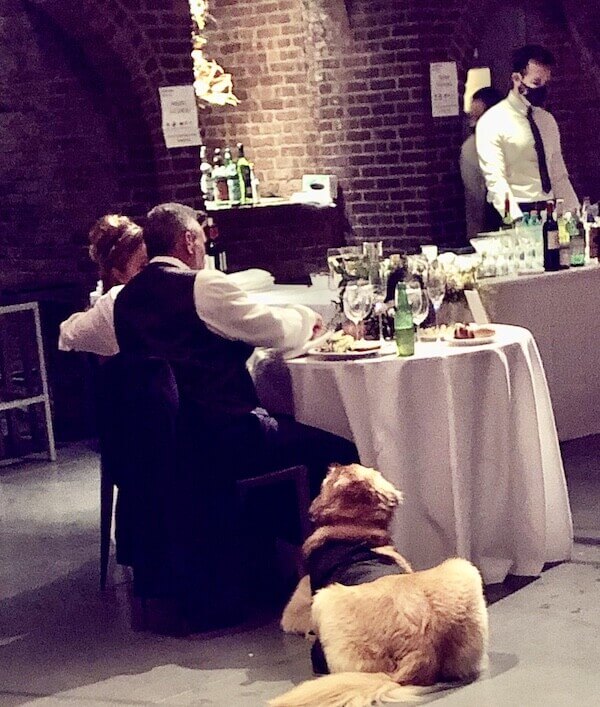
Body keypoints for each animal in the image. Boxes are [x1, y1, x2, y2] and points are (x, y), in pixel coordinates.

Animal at [270, 464, 488, 707]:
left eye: (332, 476)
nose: (334, 465)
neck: (353, 528)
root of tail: (419, 653)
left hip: (324, 601)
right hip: (463, 570)